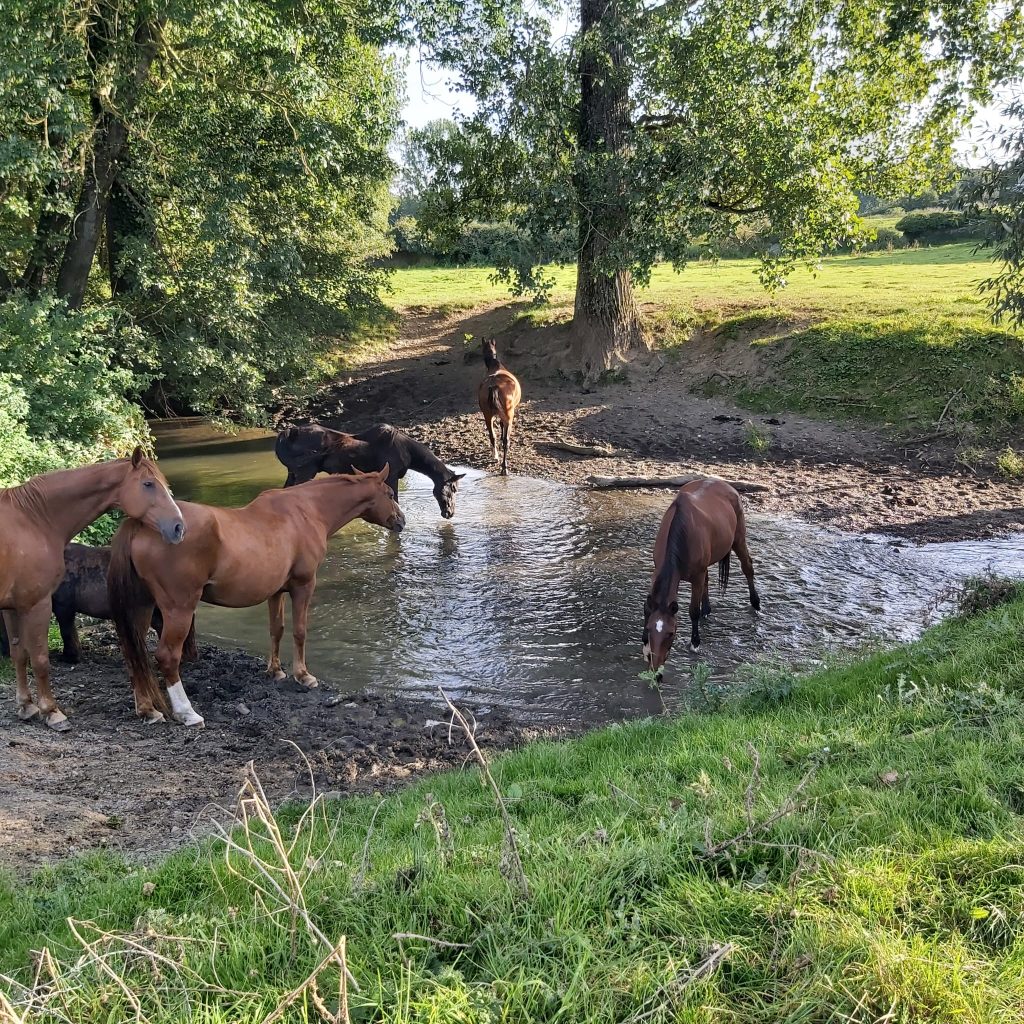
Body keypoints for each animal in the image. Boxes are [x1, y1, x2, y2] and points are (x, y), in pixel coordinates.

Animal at [107, 465, 405, 728]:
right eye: (390, 493)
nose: (401, 520)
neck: (306, 511)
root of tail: (142, 524)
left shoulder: (275, 592)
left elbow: (277, 629)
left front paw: (275, 671)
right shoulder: (303, 586)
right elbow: (299, 631)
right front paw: (303, 675)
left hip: (142, 608)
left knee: (134, 653)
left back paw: (147, 710)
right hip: (179, 608)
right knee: (167, 657)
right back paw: (187, 713)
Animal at [275, 423, 465, 518]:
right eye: (453, 488)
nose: (449, 513)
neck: (408, 453)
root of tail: (284, 436)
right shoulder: (392, 476)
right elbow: (395, 501)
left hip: (292, 473)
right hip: (305, 472)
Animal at [477, 337, 522, 476]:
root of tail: (494, 385)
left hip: (487, 415)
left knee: (492, 436)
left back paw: (495, 456)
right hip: (508, 416)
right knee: (506, 441)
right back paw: (504, 468)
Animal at [642, 478, 760, 676]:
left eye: (671, 633)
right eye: (650, 629)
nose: (656, 671)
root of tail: (726, 485)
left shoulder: (696, 576)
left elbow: (693, 611)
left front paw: (695, 643)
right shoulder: (657, 572)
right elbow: (647, 607)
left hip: (738, 540)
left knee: (748, 567)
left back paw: (756, 604)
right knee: (707, 581)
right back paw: (707, 609)